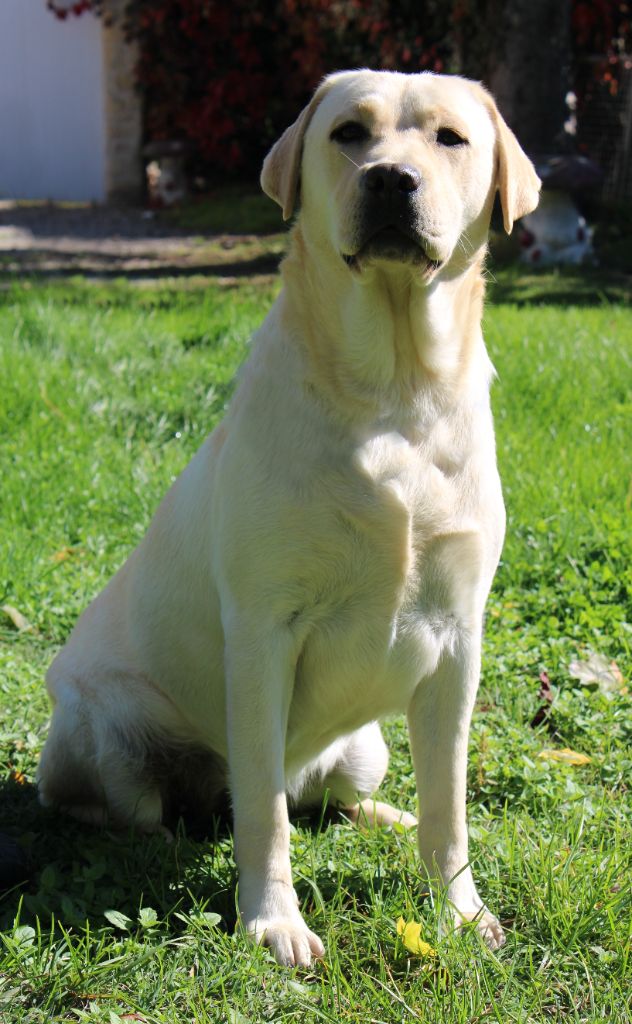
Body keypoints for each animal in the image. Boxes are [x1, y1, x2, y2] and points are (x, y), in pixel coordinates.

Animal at [38, 72, 536, 966]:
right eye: (348, 133)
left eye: (449, 138)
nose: (391, 181)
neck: (395, 390)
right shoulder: (264, 633)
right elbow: (263, 810)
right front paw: (274, 922)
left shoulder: (457, 642)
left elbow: (448, 807)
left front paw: (459, 909)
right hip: (107, 722)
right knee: (147, 809)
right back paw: (156, 835)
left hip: (364, 750)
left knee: (331, 801)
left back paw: (383, 816)